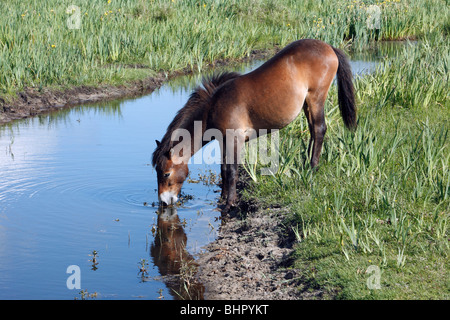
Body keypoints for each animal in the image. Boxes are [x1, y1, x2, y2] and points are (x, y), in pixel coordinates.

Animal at [153, 38, 356, 211]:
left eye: (165, 173)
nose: (164, 201)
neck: (213, 106)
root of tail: (328, 47)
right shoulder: (223, 140)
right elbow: (223, 169)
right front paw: (222, 199)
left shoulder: (234, 139)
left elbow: (232, 171)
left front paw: (229, 204)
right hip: (307, 104)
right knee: (314, 132)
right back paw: (306, 165)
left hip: (316, 99)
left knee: (319, 130)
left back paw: (313, 168)